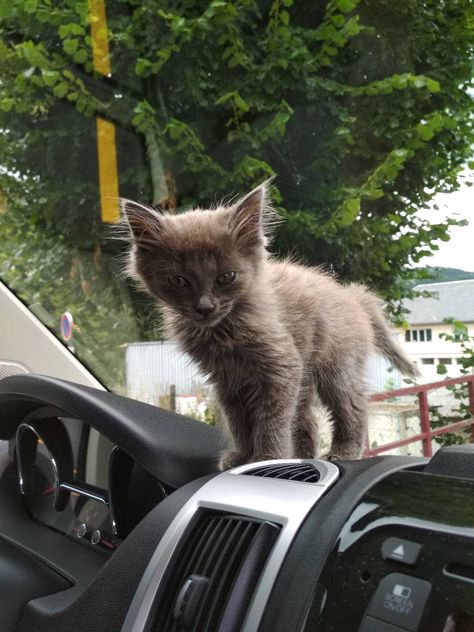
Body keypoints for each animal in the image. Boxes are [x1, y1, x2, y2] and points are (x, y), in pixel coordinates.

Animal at [123, 180, 418, 466]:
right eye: (178, 281)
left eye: (226, 277)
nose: (205, 307)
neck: (223, 330)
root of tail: (352, 296)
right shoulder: (227, 380)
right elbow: (239, 421)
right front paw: (243, 456)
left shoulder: (281, 366)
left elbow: (270, 419)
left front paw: (268, 457)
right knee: (307, 421)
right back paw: (303, 456)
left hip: (337, 366)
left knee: (352, 407)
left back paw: (343, 452)